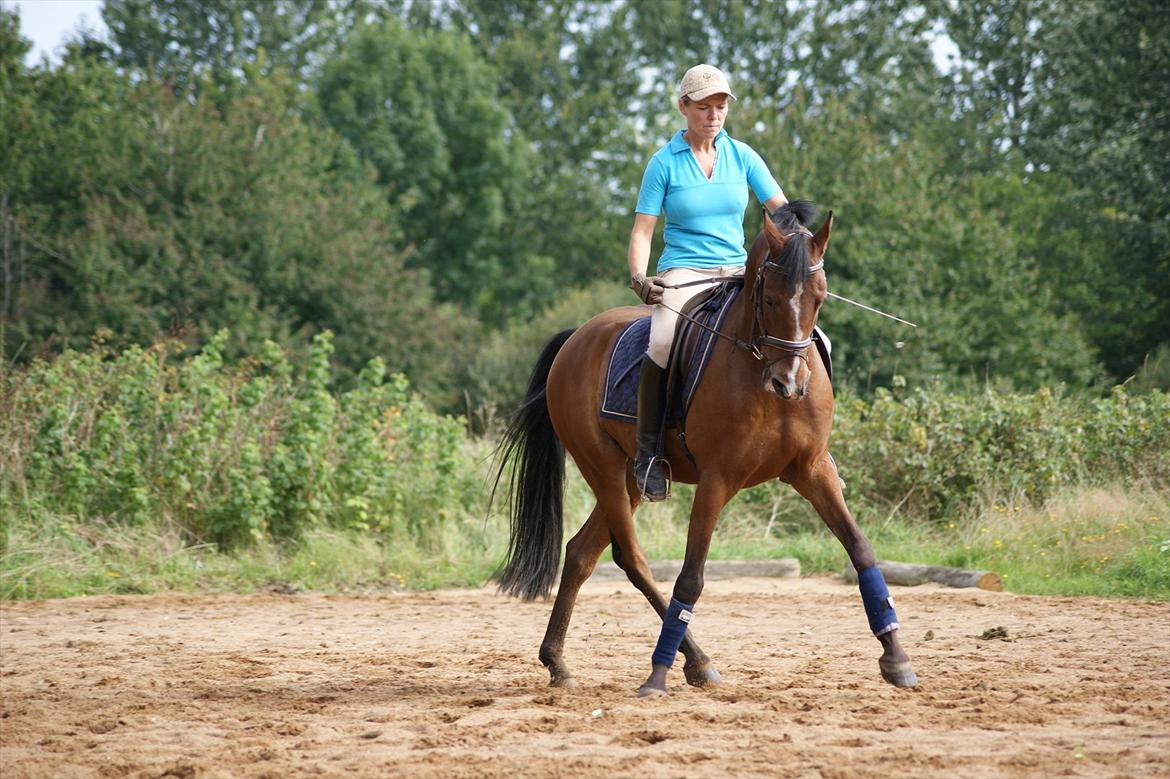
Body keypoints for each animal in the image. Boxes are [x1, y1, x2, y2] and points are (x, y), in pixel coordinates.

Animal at [489, 198, 917, 692]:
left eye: (819, 298)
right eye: (769, 298)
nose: (789, 383)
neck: (760, 372)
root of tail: (578, 336)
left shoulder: (813, 470)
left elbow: (861, 548)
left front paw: (896, 658)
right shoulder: (717, 479)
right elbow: (690, 577)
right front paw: (657, 676)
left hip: (631, 477)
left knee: (581, 553)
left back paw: (558, 662)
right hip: (603, 467)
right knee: (631, 557)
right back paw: (693, 660)